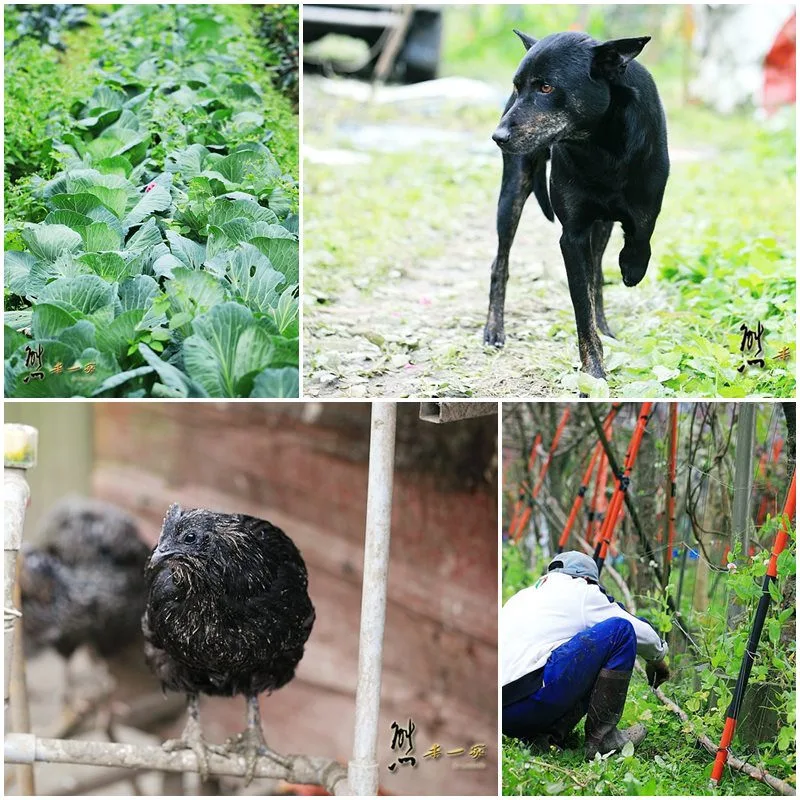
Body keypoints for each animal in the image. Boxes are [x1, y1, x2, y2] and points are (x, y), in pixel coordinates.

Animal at [488, 29, 668, 380]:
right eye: (517, 87)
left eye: (546, 87)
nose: (497, 136)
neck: (600, 147)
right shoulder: (572, 236)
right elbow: (581, 307)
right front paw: (594, 370)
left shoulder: (644, 208)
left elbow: (641, 235)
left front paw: (632, 267)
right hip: (512, 194)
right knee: (499, 264)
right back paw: (493, 330)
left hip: (603, 227)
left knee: (597, 273)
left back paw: (606, 326)